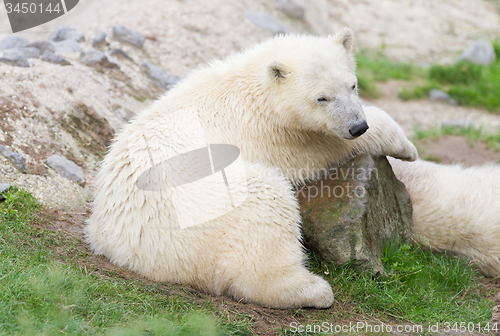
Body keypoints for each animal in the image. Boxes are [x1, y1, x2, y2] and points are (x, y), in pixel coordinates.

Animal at [86, 28, 418, 310]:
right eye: (322, 98)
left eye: (353, 85)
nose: (357, 126)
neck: (256, 89)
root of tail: (123, 248)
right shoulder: (281, 136)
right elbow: (327, 146)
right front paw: (407, 147)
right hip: (207, 206)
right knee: (267, 208)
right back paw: (314, 290)